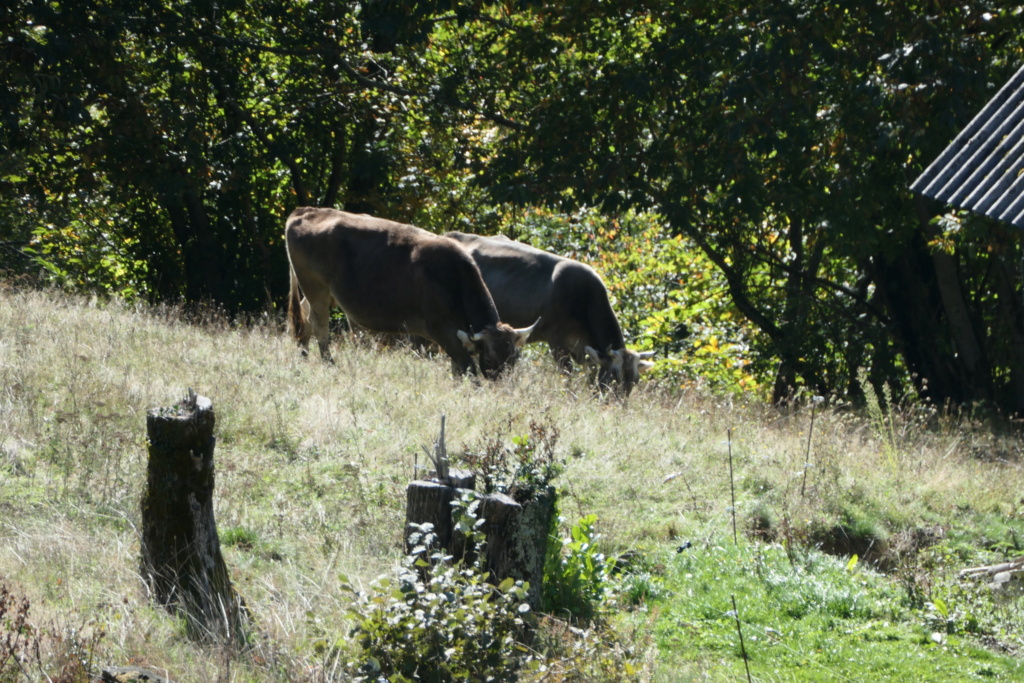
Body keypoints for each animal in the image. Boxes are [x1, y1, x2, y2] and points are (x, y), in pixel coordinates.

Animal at [284, 208, 532, 378]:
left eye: (513, 359)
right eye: (489, 360)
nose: (503, 387)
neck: (454, 277)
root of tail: (307, 210)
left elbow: (458, 369)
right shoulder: (443, 332)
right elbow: (467, 369)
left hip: (322, 292)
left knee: (305, 317)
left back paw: (303, 355)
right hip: (315, 287)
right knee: (319, 325)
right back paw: (328, 363)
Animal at [444, 232, 651, 393]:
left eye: (635, 381)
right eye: (615, 376)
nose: (617, 406)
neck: (584, 297)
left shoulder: (585, 349)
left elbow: (591, 375)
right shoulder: (556, 339)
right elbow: (567, 374)